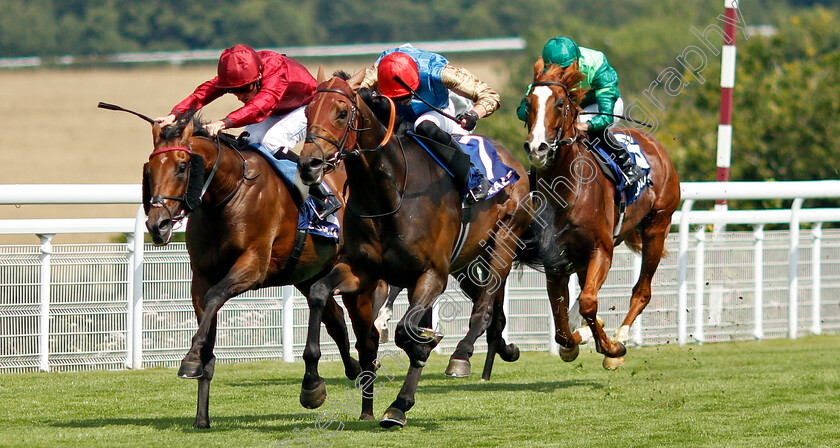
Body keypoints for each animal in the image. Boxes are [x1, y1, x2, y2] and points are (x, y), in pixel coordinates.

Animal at [143, 110, 378, 428]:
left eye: (182, 167)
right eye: (150, 170)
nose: (158, 225)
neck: (228, 192)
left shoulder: (253, 265)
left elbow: (216, 296)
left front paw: (189, 360)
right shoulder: (201, 277)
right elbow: (208, 330)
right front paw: (201, 415)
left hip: (357, 279)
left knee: (367, 337)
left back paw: (366, 407)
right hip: (309, 274)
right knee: (336, 320)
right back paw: (340, 376)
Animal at [296, 73, 532, 428]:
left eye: (341, 112)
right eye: (308, 111)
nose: (308, 164)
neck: (389, 194)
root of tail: (513, 161)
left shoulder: (432, 274)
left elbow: (406, 332)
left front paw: (423, 351)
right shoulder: (362, 270)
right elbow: (320, 293)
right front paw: (312, 385)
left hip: (504, 239)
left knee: (485, 304)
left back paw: (460, 356)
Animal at [520, 58, 680, 368]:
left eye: (560, 103)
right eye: (528, 102)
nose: (537, 148)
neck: (568, 188)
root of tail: (655, 145)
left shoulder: (601, 248)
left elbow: (588, 302)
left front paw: (611, 348)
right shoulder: (555, 259)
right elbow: (560, 320)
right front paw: (573, 343)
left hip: (657, 226)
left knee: (641, 292)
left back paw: (620, 337)